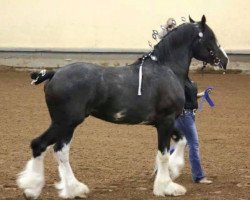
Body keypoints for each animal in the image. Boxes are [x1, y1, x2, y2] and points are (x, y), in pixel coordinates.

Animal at [17, 15, 229, 198]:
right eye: (211, 38)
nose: (225, 60)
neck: (166, 69)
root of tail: (54, 74)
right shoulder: (166, 121)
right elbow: (163, 154)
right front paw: (166, 186)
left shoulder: (164, 122)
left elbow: (181, 140)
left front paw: (172, 172)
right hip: (65, 122)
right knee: (39, 144)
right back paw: (32, 189)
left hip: (67, 125)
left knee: (60, 151)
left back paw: (74, 189)